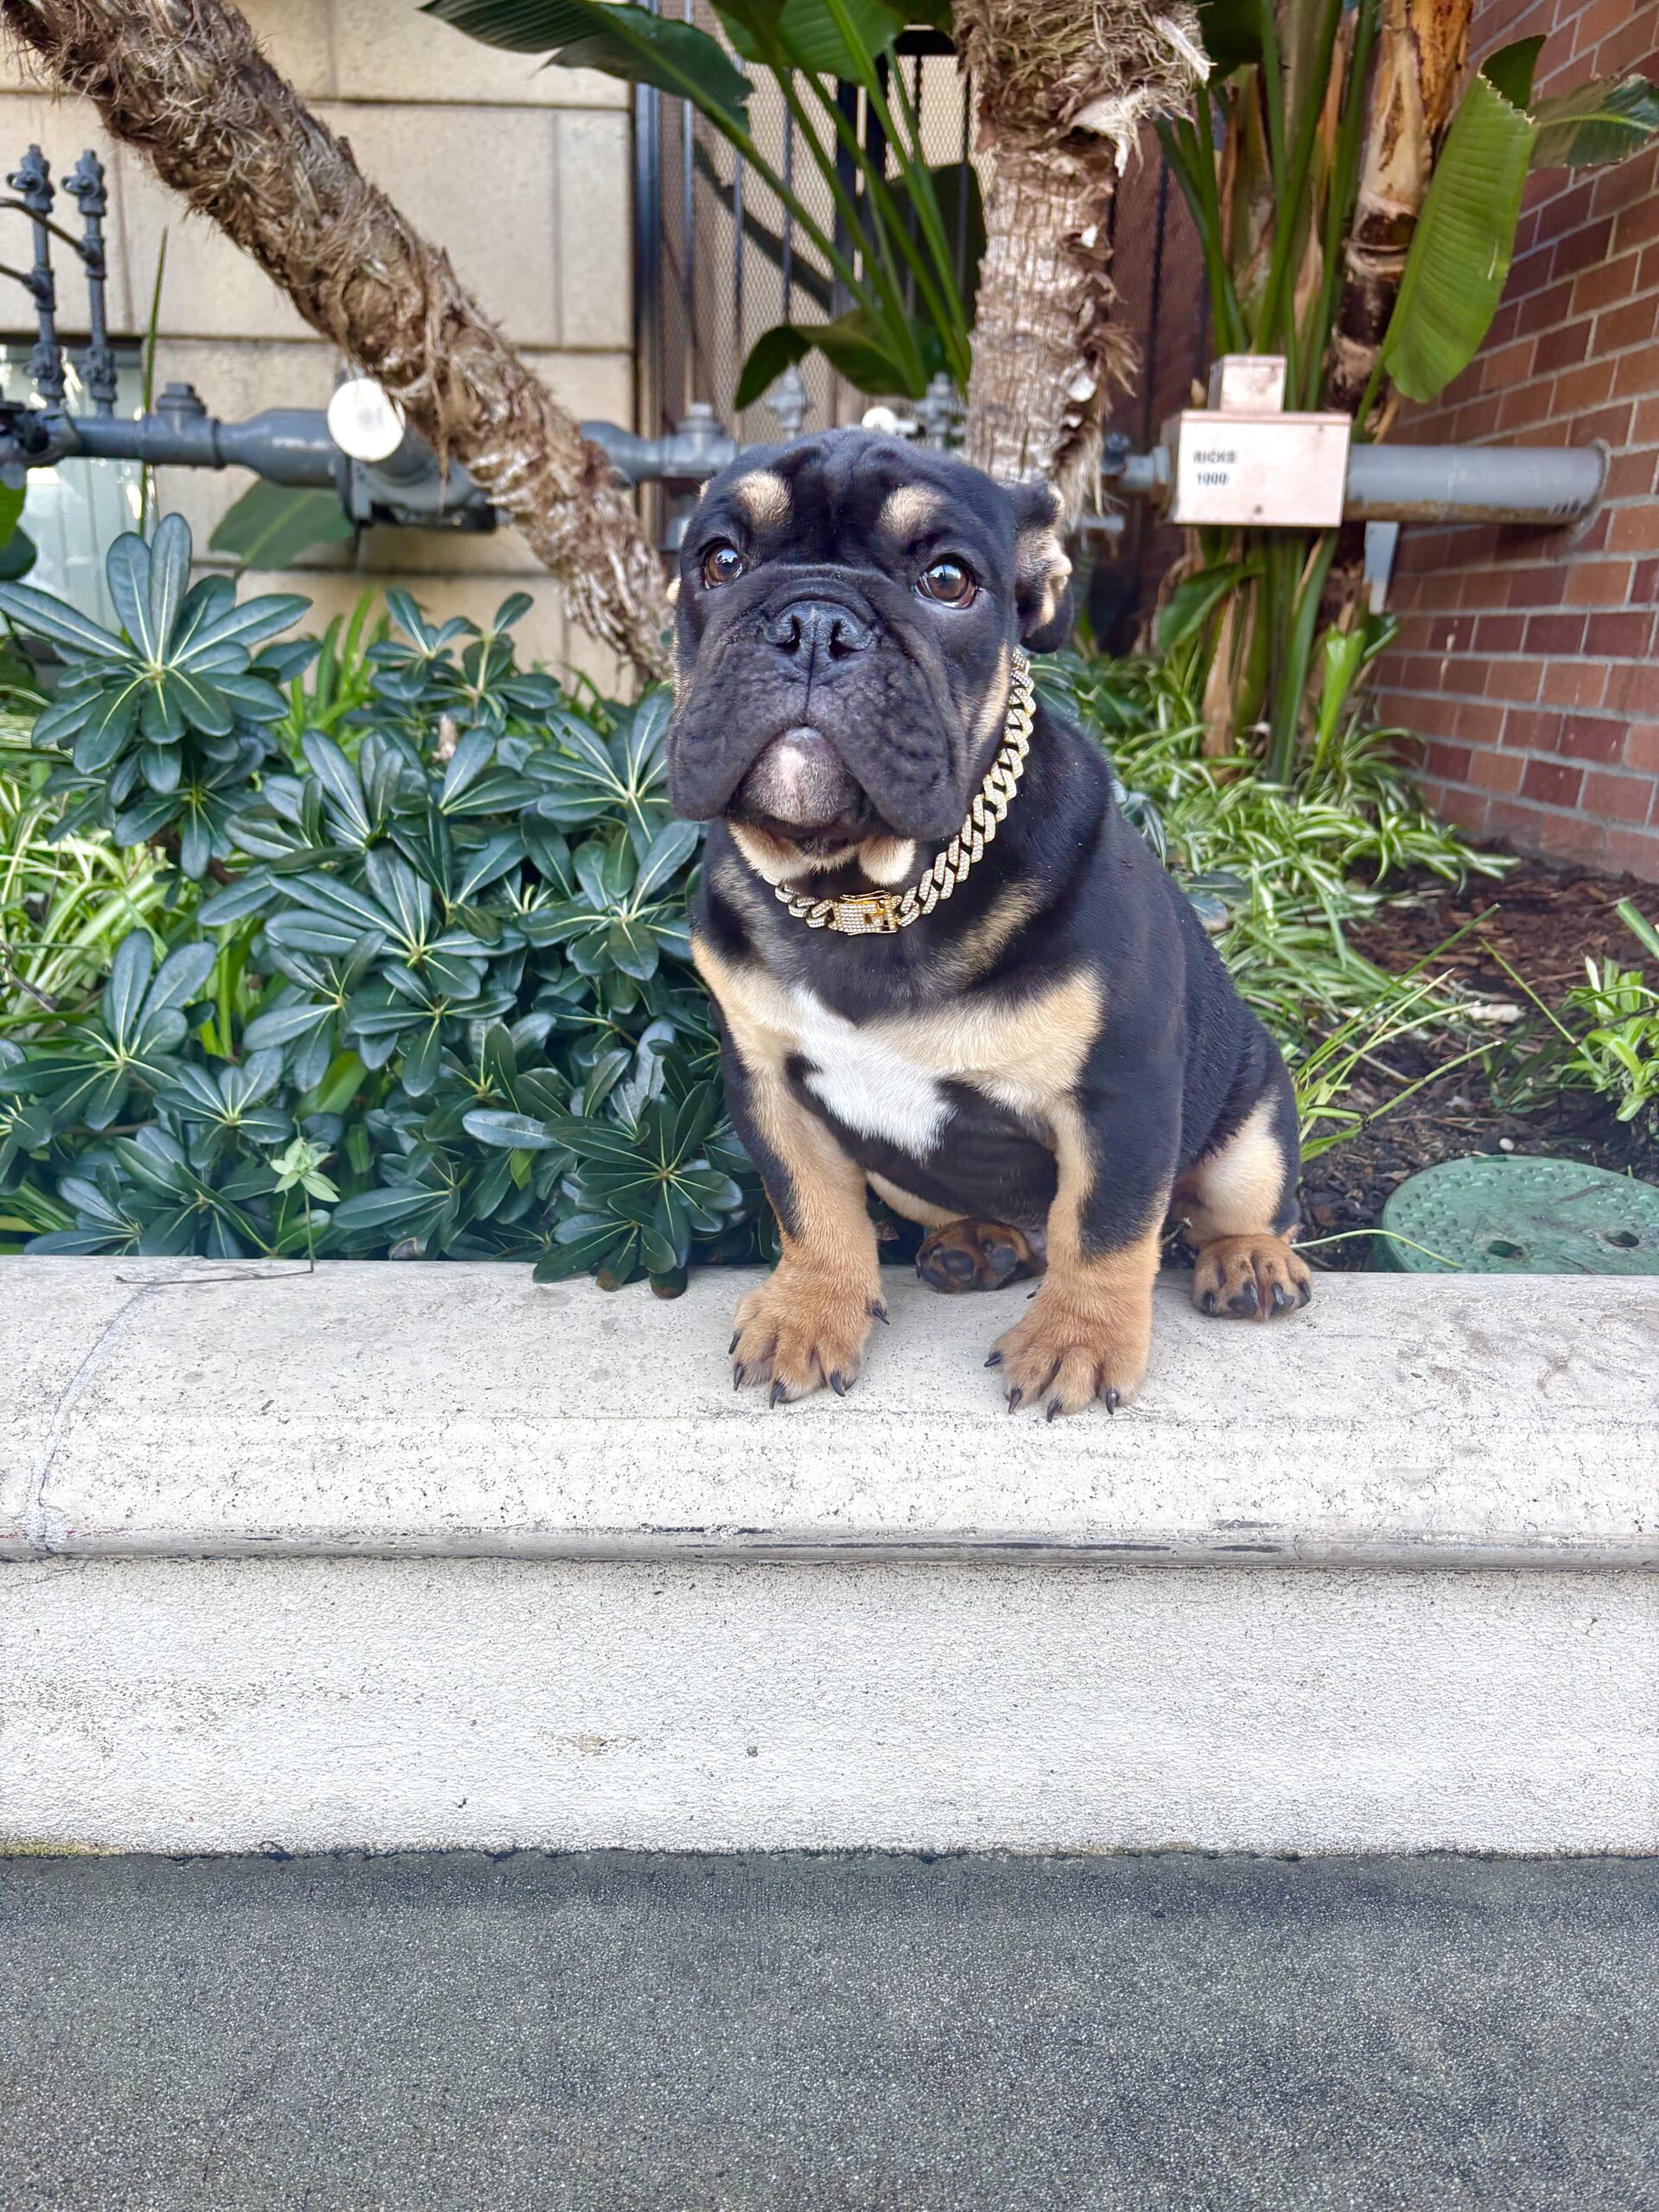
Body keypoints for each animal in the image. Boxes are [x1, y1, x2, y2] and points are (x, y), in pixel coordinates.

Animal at [667, 428, 1310, 1419]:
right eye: (719, 562)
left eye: (947, 580)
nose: (814, 623)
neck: (867, 893)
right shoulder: (767, 1083)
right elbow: (810, 1207)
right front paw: (809, 1311)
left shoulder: (1120, 1091)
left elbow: (1104, 1223)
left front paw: (1077, 1340)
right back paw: (979, 1244)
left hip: (1253, 1126)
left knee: (1230, 1210)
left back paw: (1249, 1261)